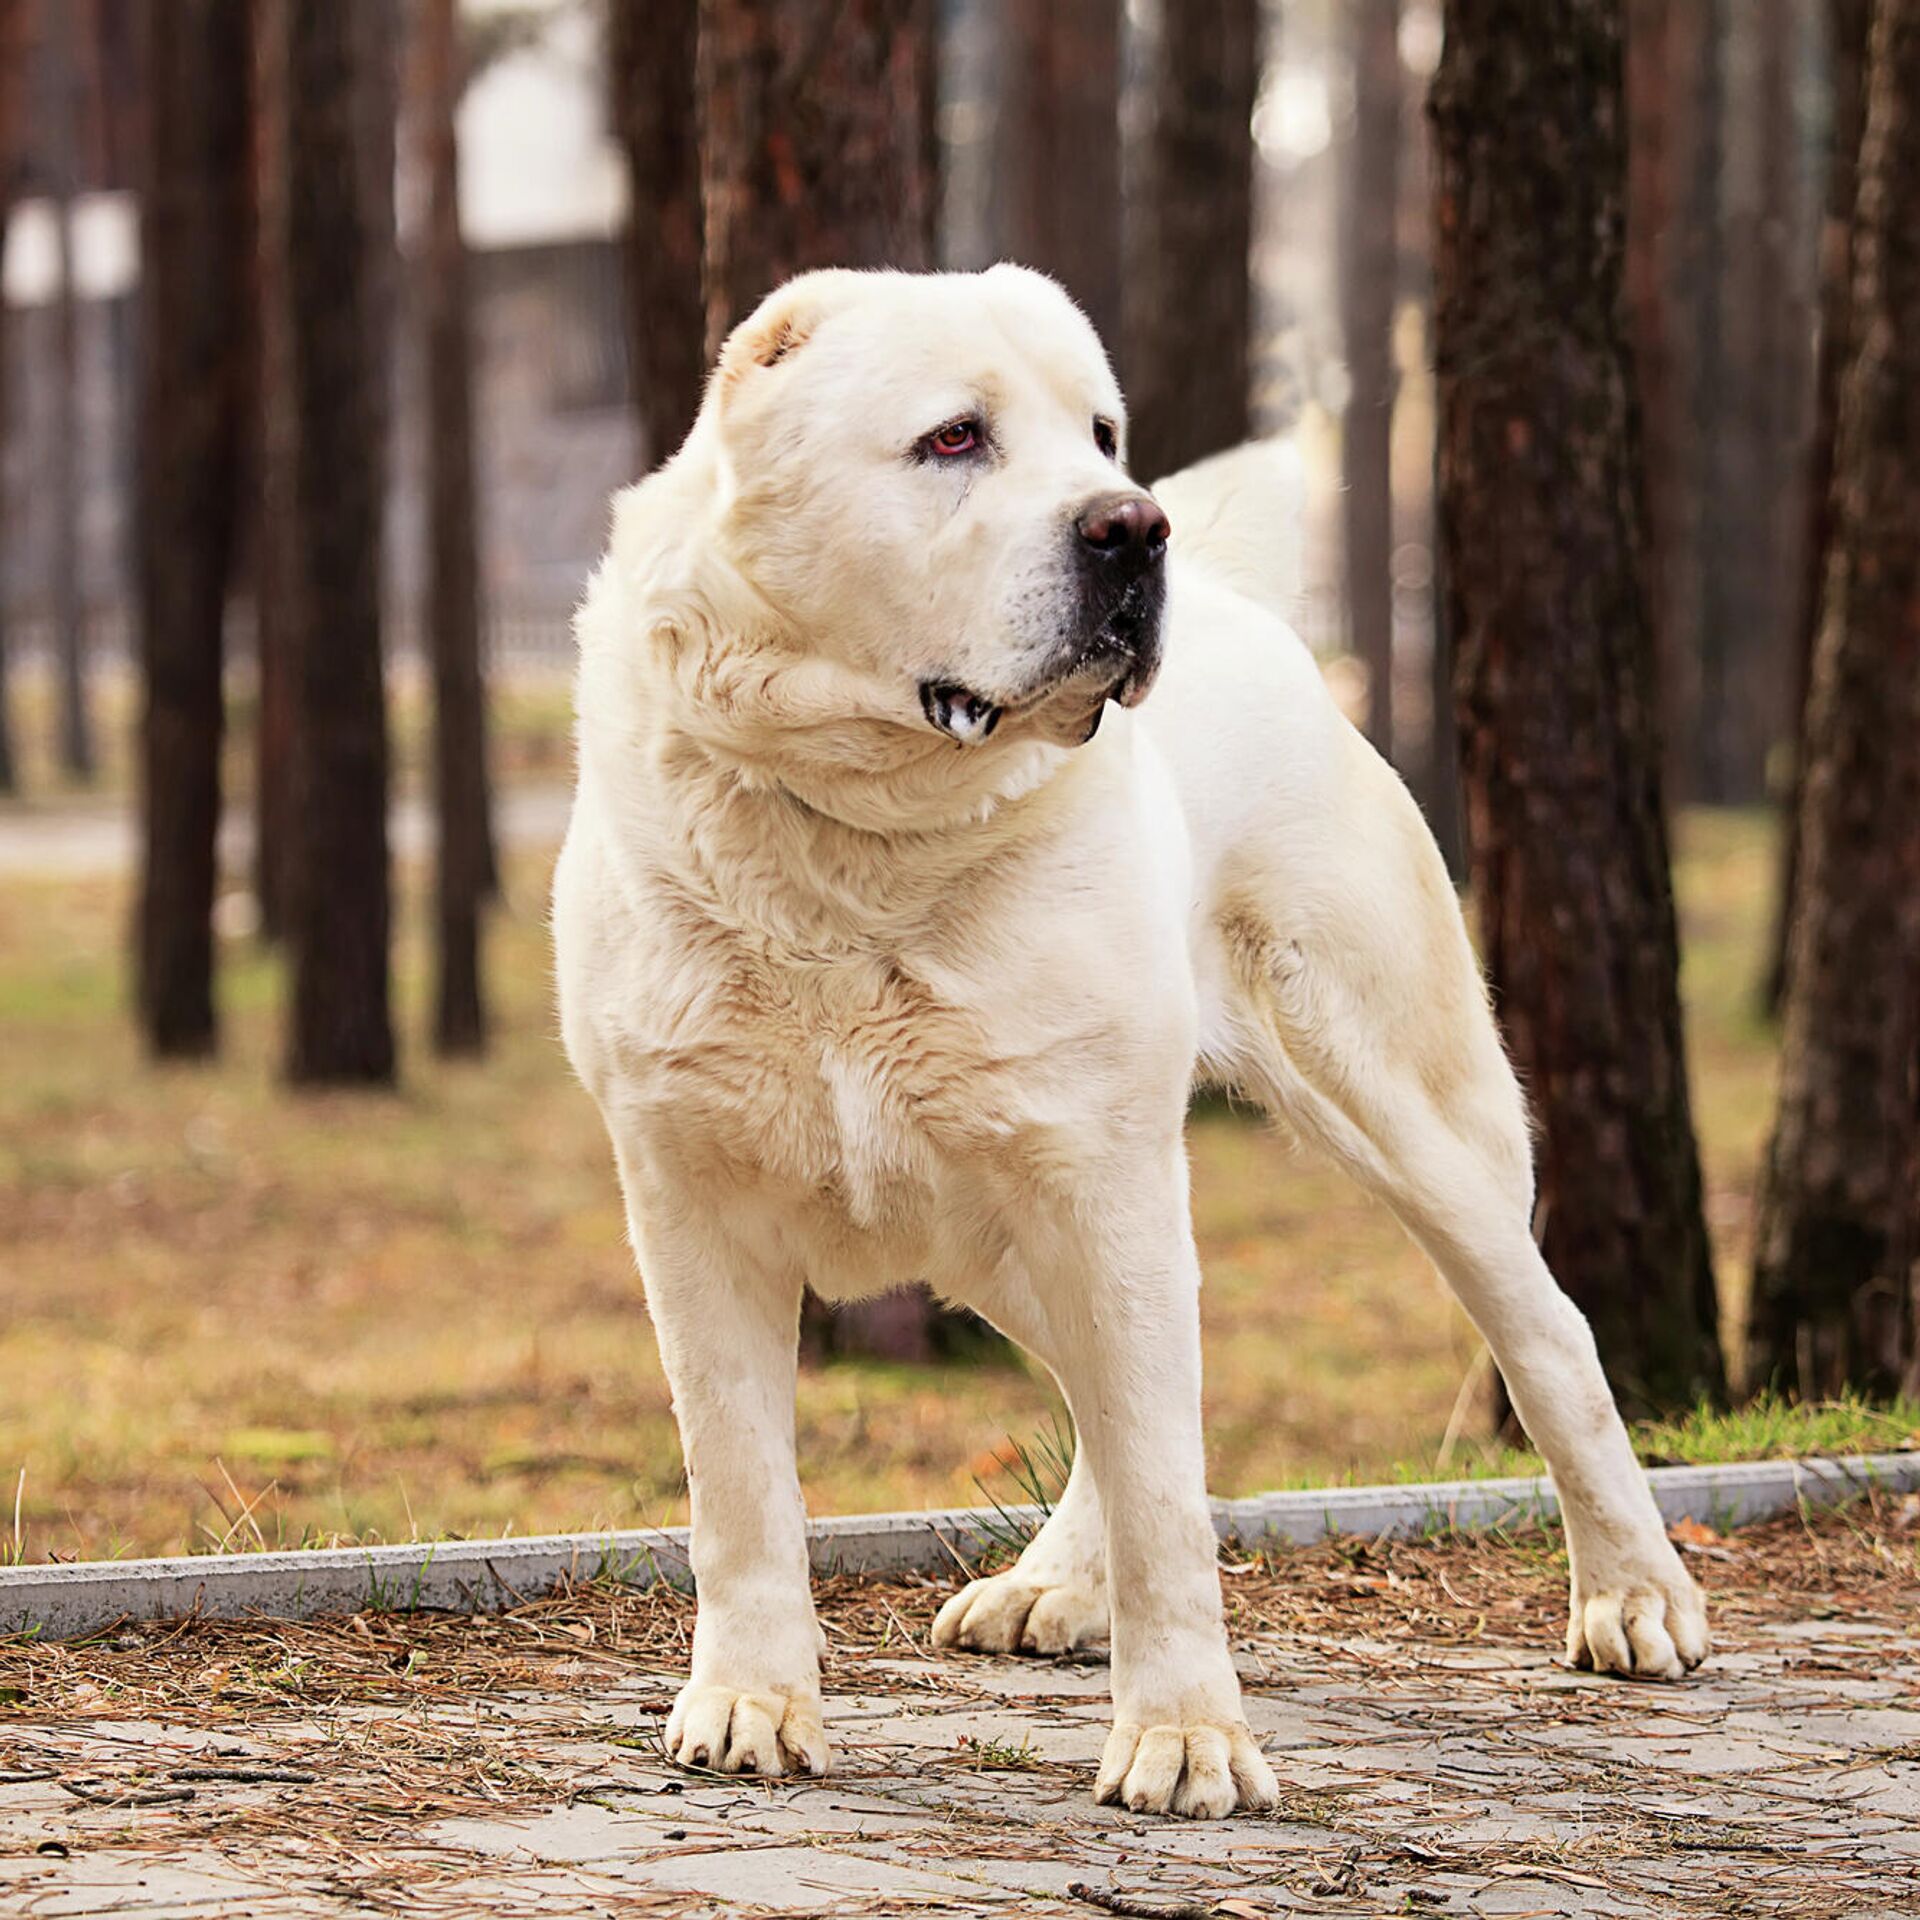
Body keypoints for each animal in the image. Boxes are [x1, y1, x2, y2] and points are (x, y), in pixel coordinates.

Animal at [556, 266, 1712, 1812]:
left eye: (1100, 432)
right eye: (953, 439)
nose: (1130, 523)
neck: (862, 840)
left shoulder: (1102, 1180)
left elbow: (1168, 1490)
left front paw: (1185, 1738)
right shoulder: (692, 1201)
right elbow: (739, 1486)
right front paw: (750, 1702)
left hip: (1399, 1118)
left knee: (1546, 1338)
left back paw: (1636, 1598)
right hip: (1006, 1220)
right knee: (1106, 1397)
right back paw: (1049, 1588)